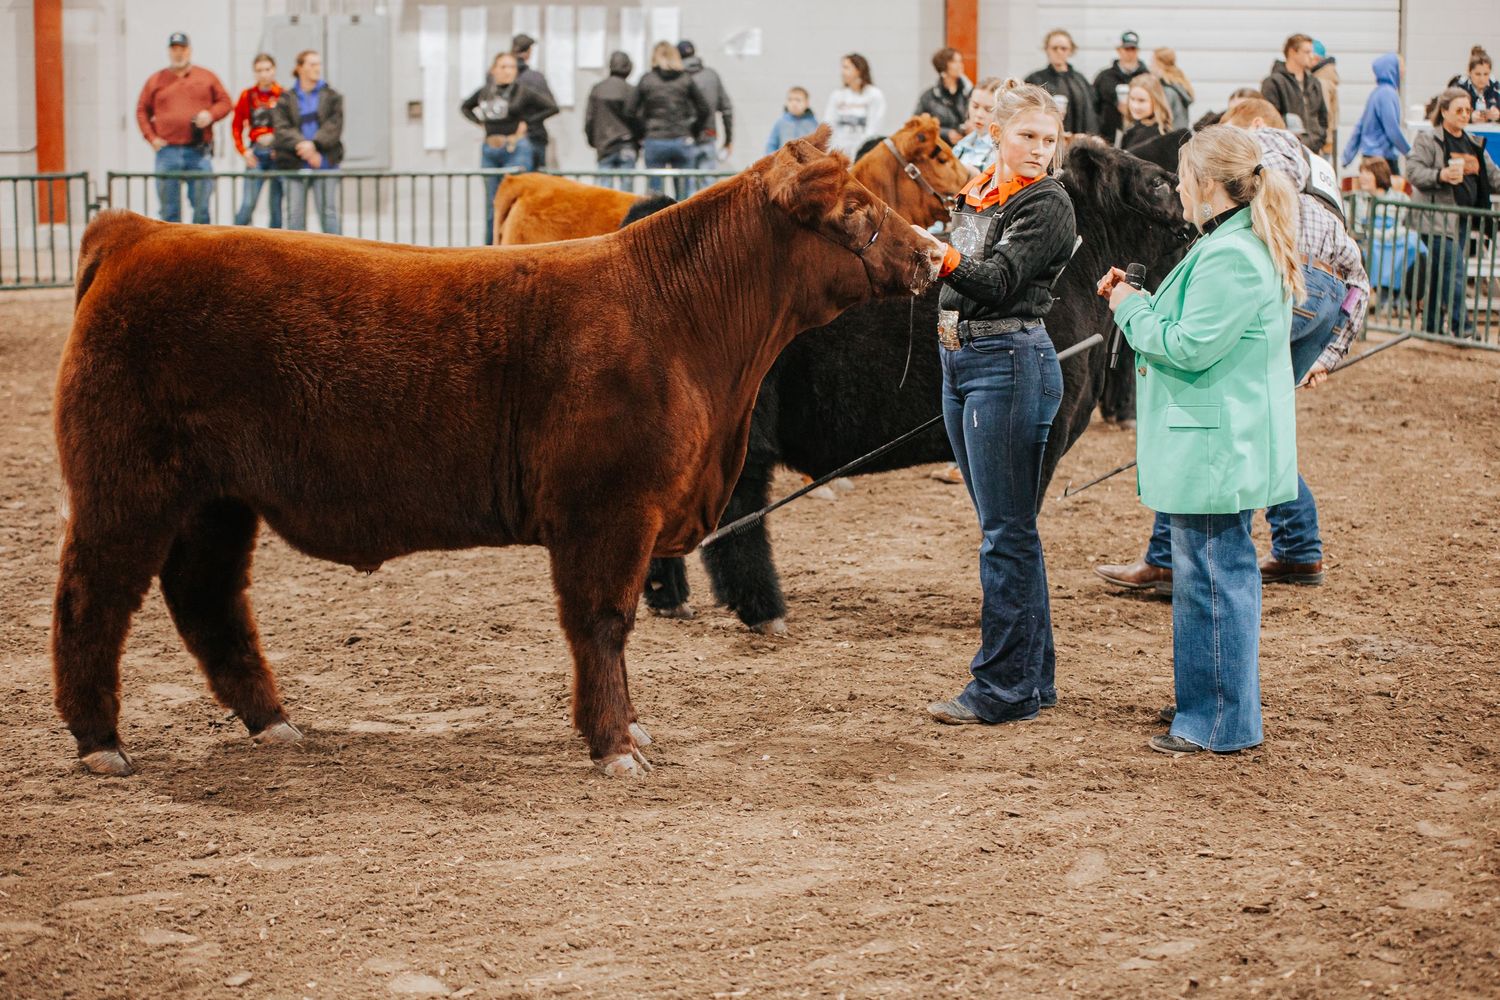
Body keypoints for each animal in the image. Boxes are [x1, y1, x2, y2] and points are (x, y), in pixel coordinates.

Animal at [51, 127, 946, 780]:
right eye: (854, 210)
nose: (932, 256)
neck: (680, 319)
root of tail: (137, 232)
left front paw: (626, 731)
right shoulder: (607, 511)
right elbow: (603, 623)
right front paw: (615, 745)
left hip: (216, 499)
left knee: (207, 598)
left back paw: (273, 723)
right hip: (125, 485)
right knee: (93, 599)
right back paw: (101, 744)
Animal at [642, 138, 1193, 633]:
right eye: (1159, 182)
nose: (1196, 215)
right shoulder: (1043, 431)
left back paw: (669, 597)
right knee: (739, 517)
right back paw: (762, 609)